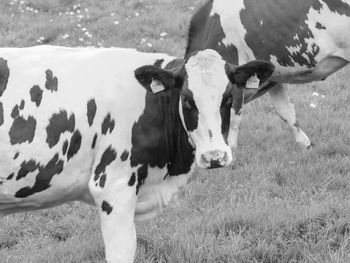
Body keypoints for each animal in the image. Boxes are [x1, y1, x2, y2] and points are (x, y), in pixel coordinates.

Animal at [185, 0, 348, 153]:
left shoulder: (235, 80)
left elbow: (234, 119)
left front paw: (230, 151)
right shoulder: (273, 76)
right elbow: (286, 111)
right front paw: (306, 146)